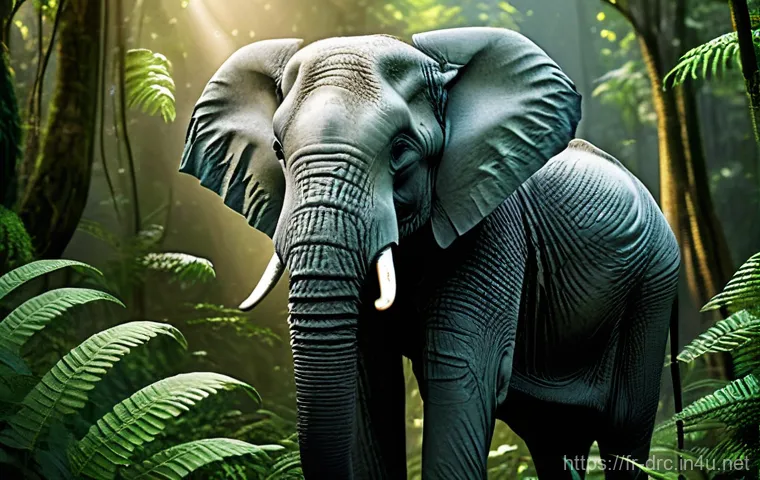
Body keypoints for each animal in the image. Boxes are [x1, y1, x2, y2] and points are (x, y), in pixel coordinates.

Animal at [178, 26, 684, 479]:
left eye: (401, 151)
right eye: (279, 150)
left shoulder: (491, 226)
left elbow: (461, 373)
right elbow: (368, 385)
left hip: (654, 285)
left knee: (624, 429)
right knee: (552, 440)